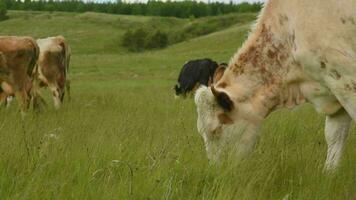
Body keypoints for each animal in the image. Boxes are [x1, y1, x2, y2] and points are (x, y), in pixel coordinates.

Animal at [193, 0, 356, 172]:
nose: (216, 171)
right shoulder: (334, 93)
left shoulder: (346, 80)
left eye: (216, 129)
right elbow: (334, 139)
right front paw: (329, 173)